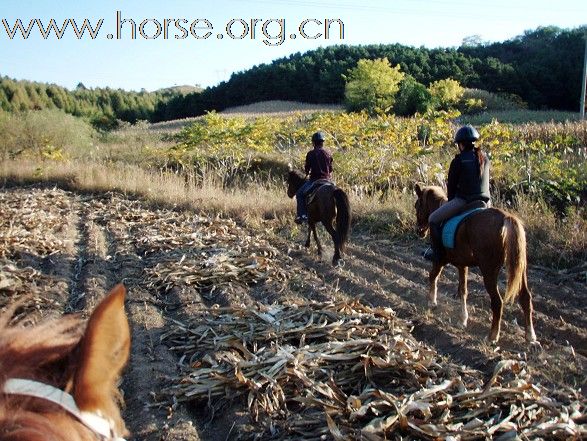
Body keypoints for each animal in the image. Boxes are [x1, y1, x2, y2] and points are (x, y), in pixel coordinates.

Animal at [414, 182, 536, 344]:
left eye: (417, 206)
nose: (419, 231)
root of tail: (506, 218)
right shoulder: (462, 265)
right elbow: (463, 291)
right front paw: (462, 320)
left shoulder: (440, 260)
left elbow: (433, 276)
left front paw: (431, 302)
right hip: (520, 269)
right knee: (525, 298)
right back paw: (530, 336)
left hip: (489, 271)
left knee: (497, 302)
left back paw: (492, 337)